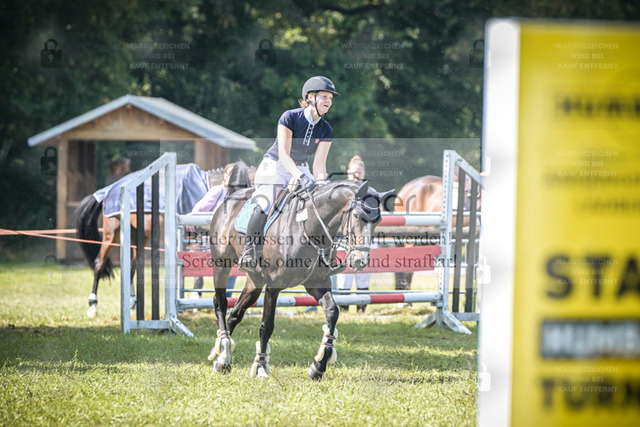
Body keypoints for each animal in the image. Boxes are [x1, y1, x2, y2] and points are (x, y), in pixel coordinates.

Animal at [74, 162, 251, 318]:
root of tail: (107, 190)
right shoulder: (195, 239)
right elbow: (199, 276)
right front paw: (196, 302)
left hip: (137, 235)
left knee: (131, 266)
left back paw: (133, 304)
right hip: (112, 232)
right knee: (99, 264)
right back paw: (93, 306)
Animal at [206, 180, 392, 380]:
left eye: (377, 221)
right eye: (357, 216)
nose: (360, 261)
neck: (309, 228)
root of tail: (229, 199)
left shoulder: (317, 283)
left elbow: (332, 313)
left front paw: (318, 365)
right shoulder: (273, 286)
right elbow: (267, 325)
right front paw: (261, 366)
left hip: (254, 281)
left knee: (236, 313)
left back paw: (221, 357)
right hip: (222, 264)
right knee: (220, 303)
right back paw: (224, 352)